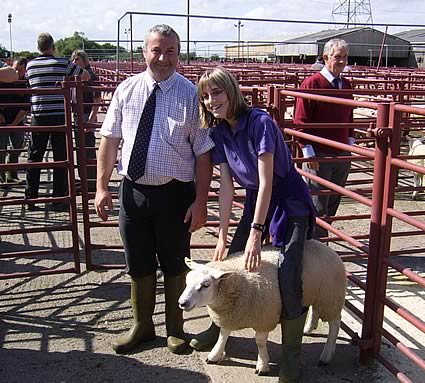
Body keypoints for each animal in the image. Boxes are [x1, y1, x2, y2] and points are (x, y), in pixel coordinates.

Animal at [177, 242, 346, 376]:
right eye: (187, 280)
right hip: (316, 294)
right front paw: (214, 354)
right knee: (314, 310)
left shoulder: (264, 317)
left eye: (205, 285)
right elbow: (223, 334)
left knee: (335, 324)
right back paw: (308, 328)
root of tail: (328, 248)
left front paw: (262, 365)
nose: (182, 303)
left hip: (331, 297)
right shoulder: (229, 315)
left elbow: (259, 341)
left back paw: (326, 355)